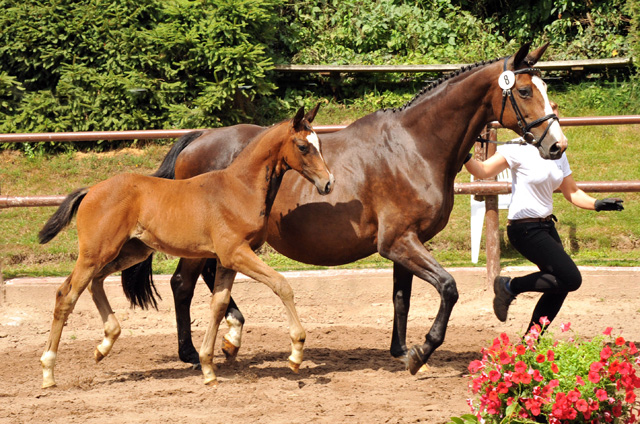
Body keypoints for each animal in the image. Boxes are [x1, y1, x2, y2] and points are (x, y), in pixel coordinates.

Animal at [37, 105, 332, 388]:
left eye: (320, 143)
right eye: (303, 146)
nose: (328, 183)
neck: (240, 189)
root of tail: (91, 190)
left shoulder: (226, 260)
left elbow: (219, 305)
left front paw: (208, 367)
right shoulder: (236, 253)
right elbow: (281, 285)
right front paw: (296, 352)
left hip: (130, 251)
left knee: (93, 282)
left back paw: (105, 344)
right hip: (95, 253)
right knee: (66, 295)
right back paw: (48, 372)